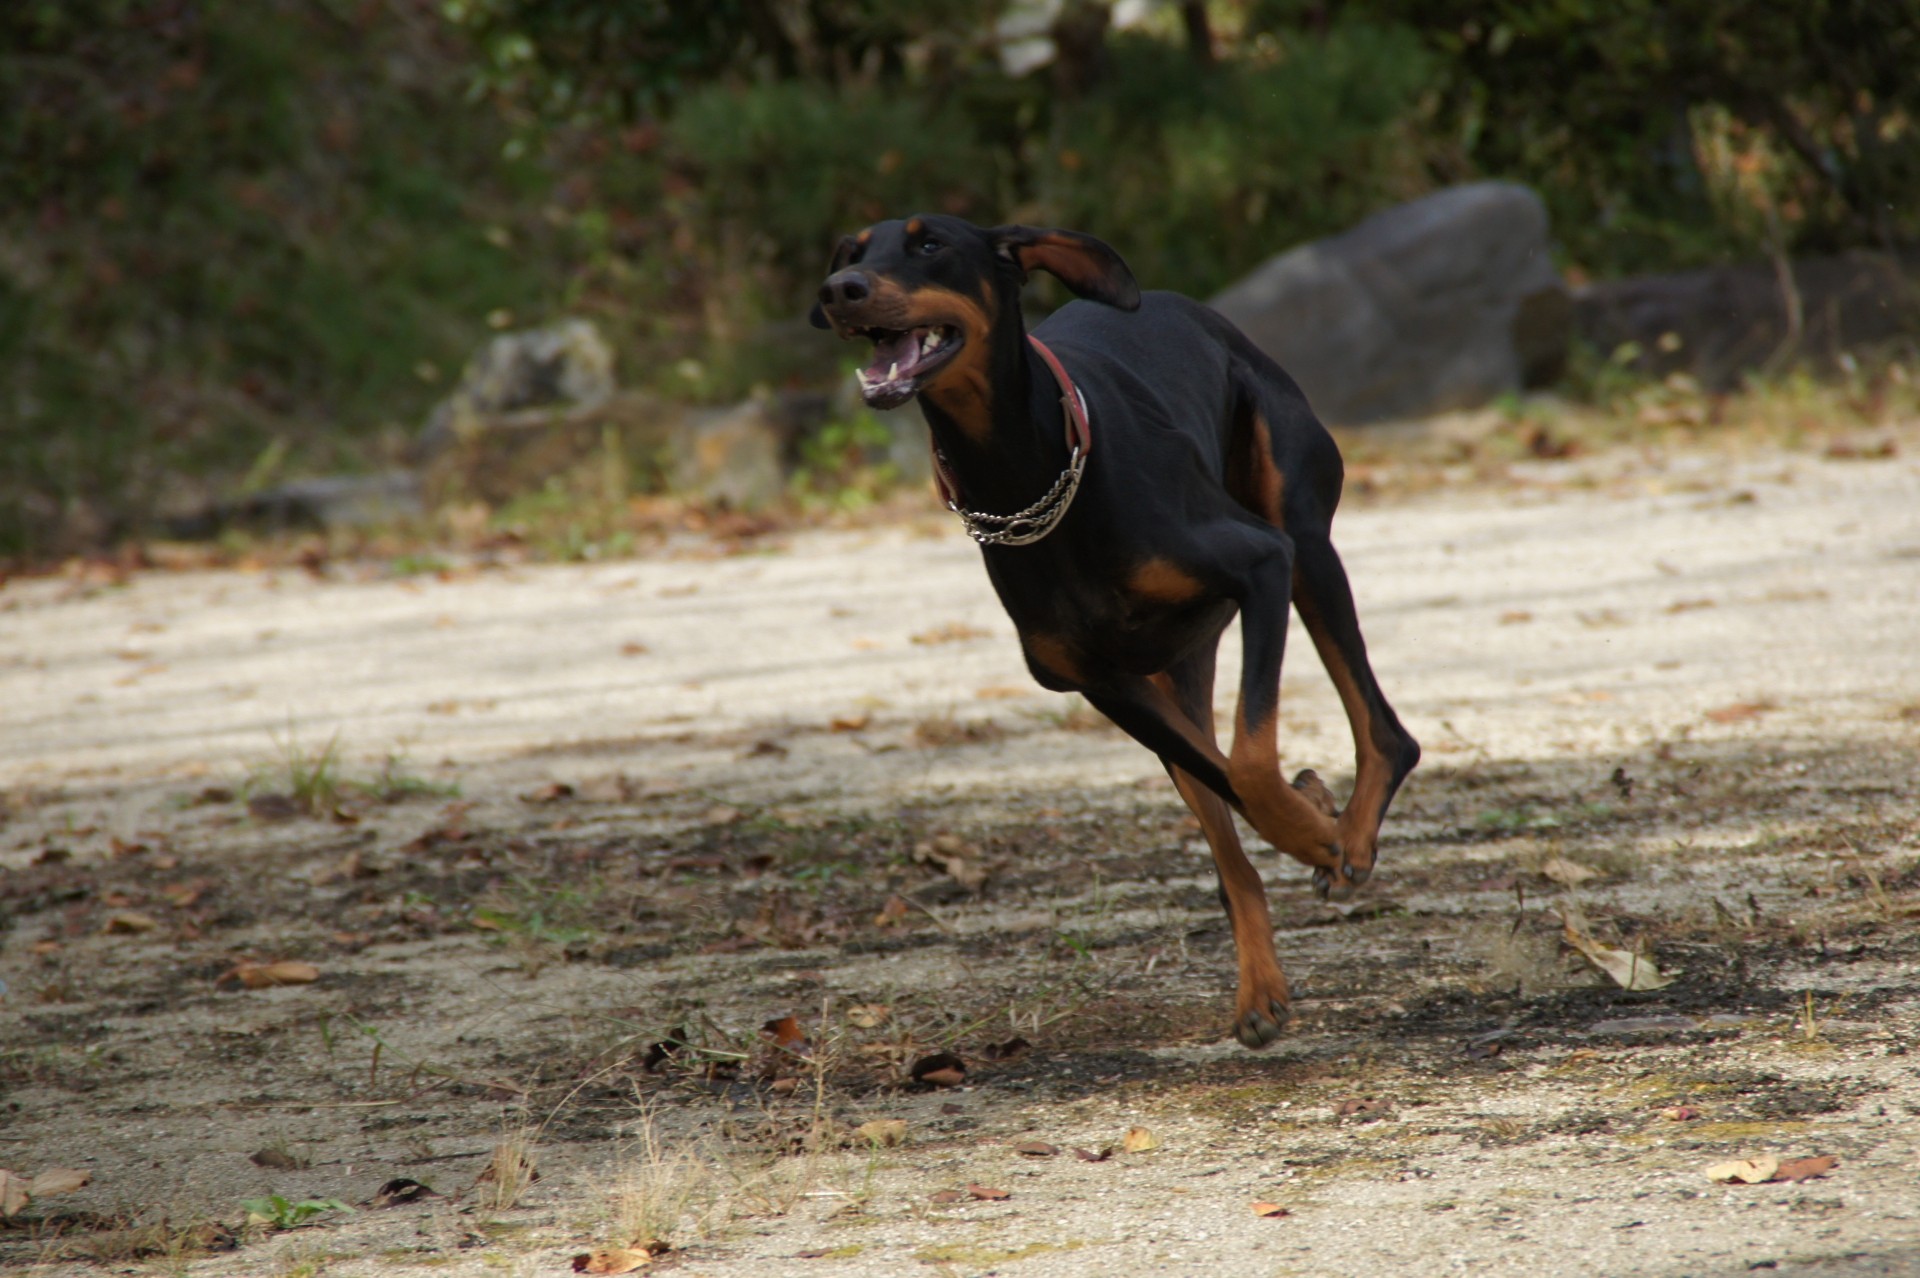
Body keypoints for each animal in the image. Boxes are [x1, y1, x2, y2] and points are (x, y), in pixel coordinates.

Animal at [802, 211, 1420, 1043]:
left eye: (929, 243)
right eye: (853, 251)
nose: (841, 290)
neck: (1023, 470)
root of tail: (1190, 307)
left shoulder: (1261, 565)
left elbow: (1253, 763)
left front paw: (1319, 830)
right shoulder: (1100, 683)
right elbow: (1231, 777)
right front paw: (1309, 819)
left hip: (1303, 540)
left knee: (1383, 728)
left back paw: (1348, 836)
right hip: (1174, 672)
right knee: (1219, 811)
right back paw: (1261, 984)